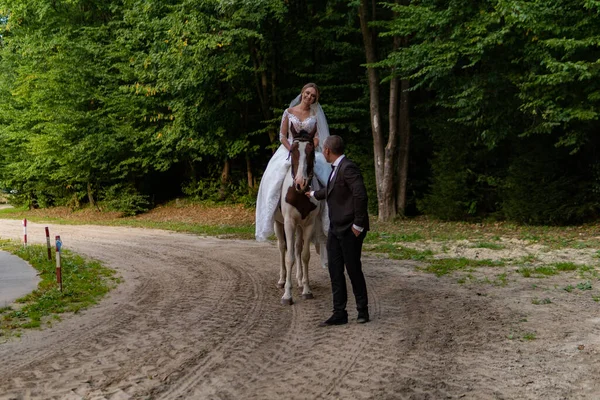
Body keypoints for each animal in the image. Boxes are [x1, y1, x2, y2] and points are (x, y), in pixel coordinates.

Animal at [274, 123, 326, 304]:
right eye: (292, 150)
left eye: (311, 151)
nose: (300, 183)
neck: (300, 194)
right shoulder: (289, 222)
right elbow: (289, 257)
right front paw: (287, 295)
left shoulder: (308, 224)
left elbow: (304, 255)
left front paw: (306, 289)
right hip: (279, 224)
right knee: (282, 247)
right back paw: (282, 280)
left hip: (300, 226)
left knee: (297, 247)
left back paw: (299, 279)